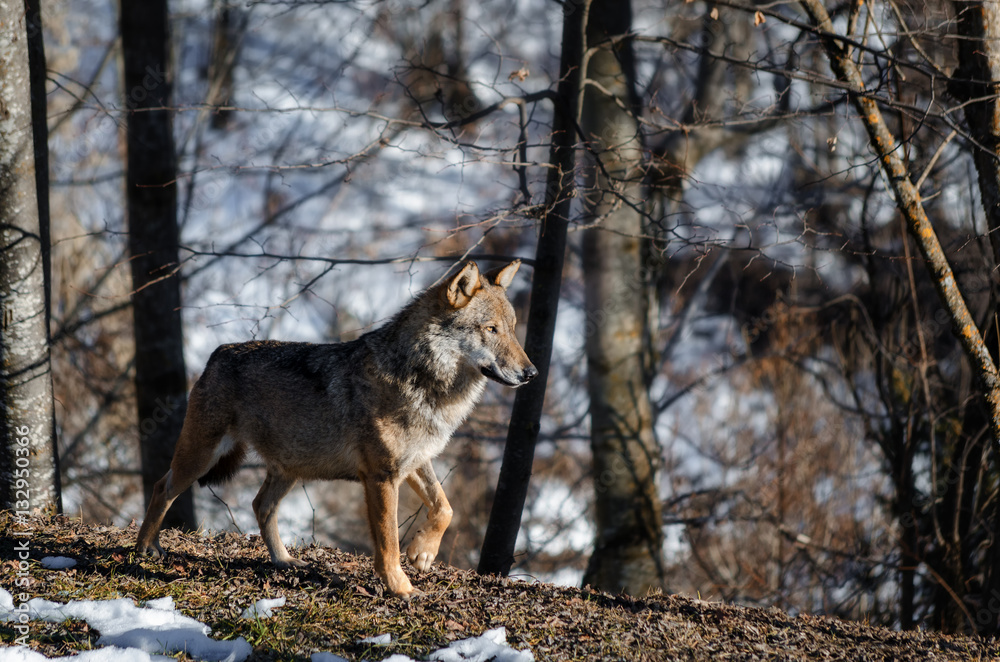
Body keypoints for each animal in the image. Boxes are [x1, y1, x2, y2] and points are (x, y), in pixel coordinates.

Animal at [135, 260, 536, 597]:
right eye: (490, 329)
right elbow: (388, 543)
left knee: (260, 505)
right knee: (161, 488)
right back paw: (144, 550)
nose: (531, 373)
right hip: (201, 458)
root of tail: (218, 353)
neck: (424, 385)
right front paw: (401, 588)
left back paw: (284, 560)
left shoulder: (415, 463)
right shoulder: (381, 476)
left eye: (513, 330)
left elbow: (445, 508)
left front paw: (422, 552)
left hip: (289, 468)